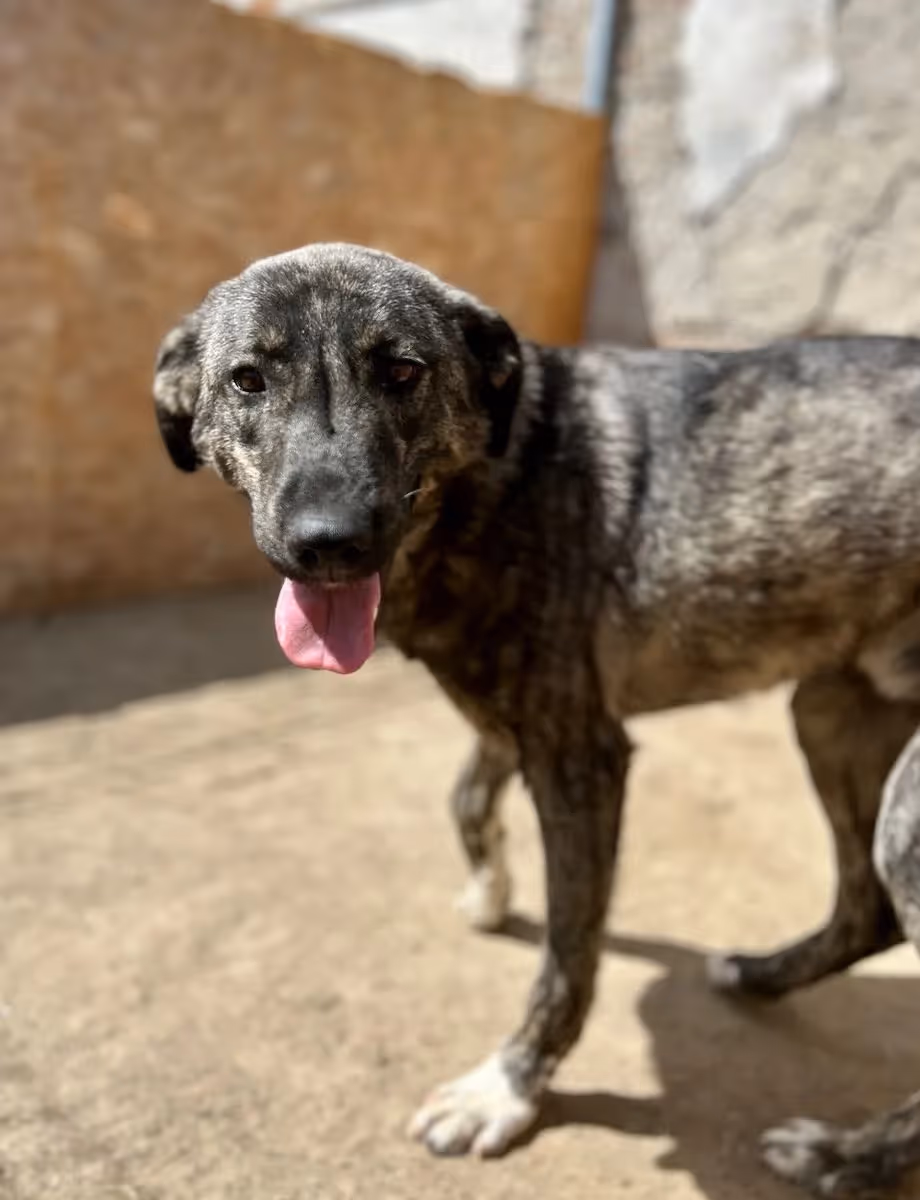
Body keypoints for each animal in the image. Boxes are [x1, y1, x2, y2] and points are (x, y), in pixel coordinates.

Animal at [153, 243, 920, 1196]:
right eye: (249, 379)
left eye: (402, 371)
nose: (329, 543)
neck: (495, 478)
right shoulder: (510, 714)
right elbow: (467, 798)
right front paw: (491, 890)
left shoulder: (582, 755)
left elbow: (569, 955)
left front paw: (509, 1088)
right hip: (831, 711)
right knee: (867, 910)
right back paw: (762, 977)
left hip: (902, 805)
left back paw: (840, 1156)